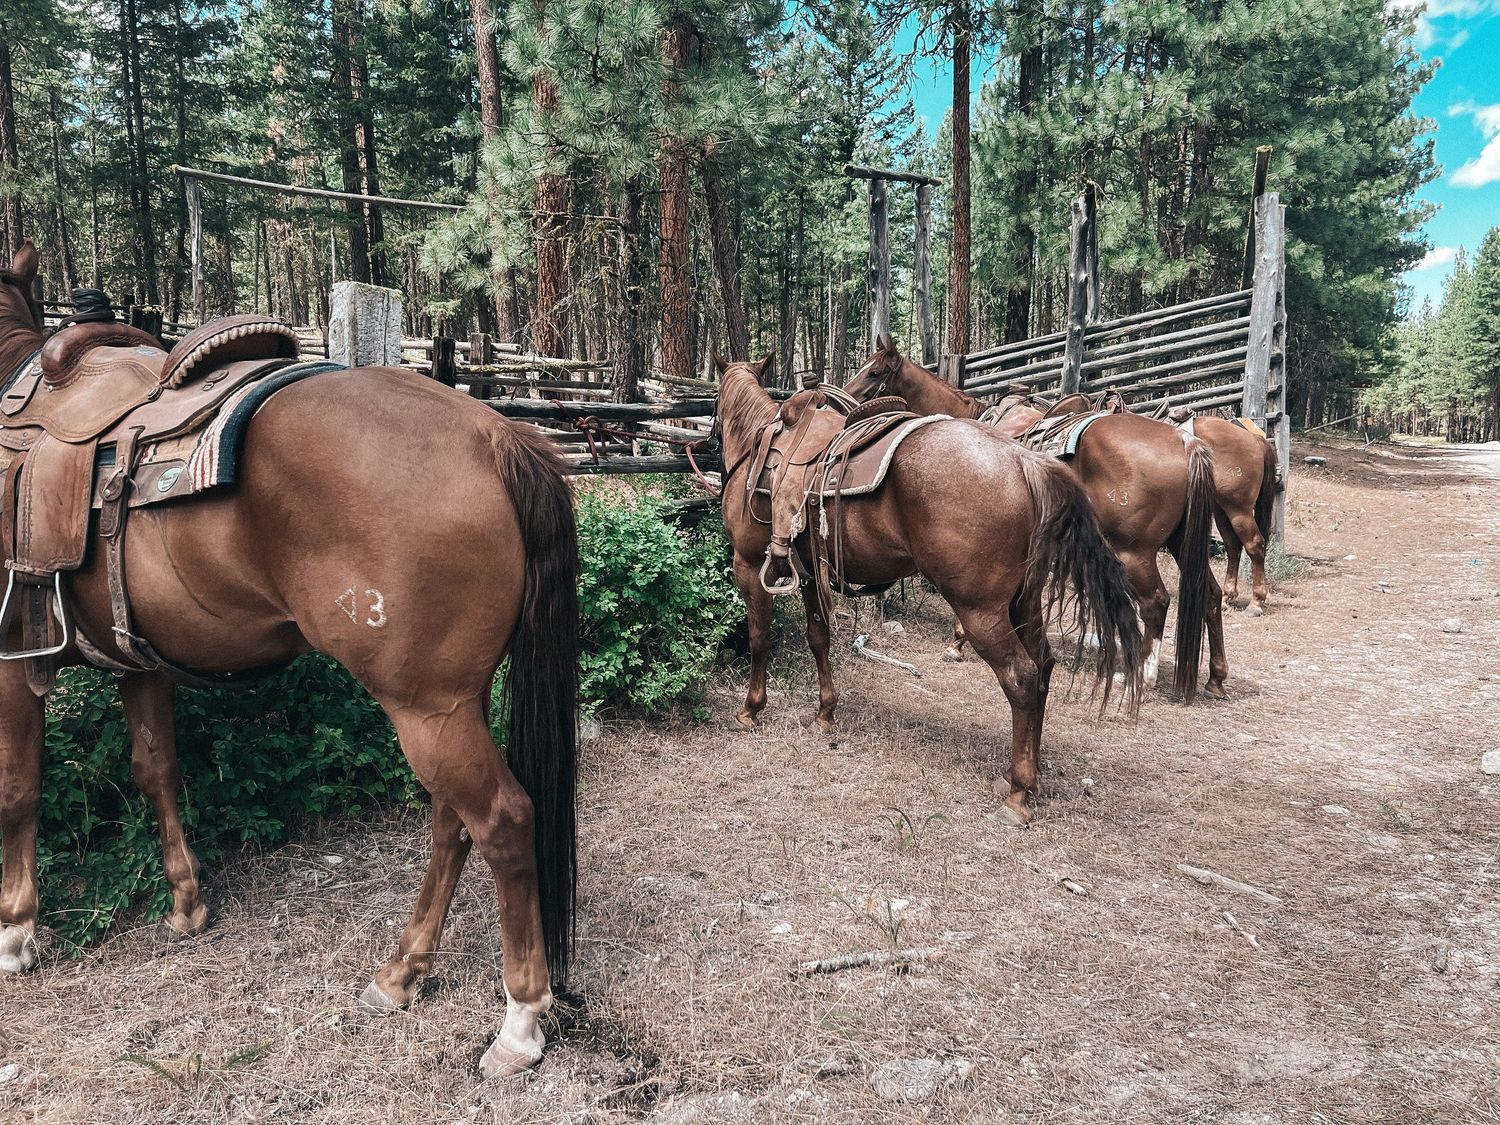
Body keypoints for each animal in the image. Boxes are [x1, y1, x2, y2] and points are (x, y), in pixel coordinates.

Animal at [0, 243, 577, 1079]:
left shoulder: (14, 658)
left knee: (501, 819)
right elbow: (157, 769)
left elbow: (18, 790)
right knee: (453, 819)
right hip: (449, 705)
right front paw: (186, 903)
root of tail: (493, 435)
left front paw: (15, 931)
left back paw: (520, 1021)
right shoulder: (140, 663)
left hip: (427, 707)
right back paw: (401, 972)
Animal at [711, 354, 1145, 827]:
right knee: (1044, 665)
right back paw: (1029, 777)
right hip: (1023, 603)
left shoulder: (749, 566)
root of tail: (1022, 461)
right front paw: (825, 714)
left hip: (980, 611)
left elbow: (759, 638)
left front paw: (751, 709)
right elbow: (818, 638)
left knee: (1021, 677)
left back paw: (1017, 795)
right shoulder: (809, 575)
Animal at [845, 337, 1227, 700]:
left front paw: (956, 644)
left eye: (874, 373)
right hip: (1181, 542)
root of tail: (1184, 441)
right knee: (1210, 593)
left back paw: (1141, 679)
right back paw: (1215, 679)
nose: (846, 399)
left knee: (1156, 603)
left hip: (1135, 552)